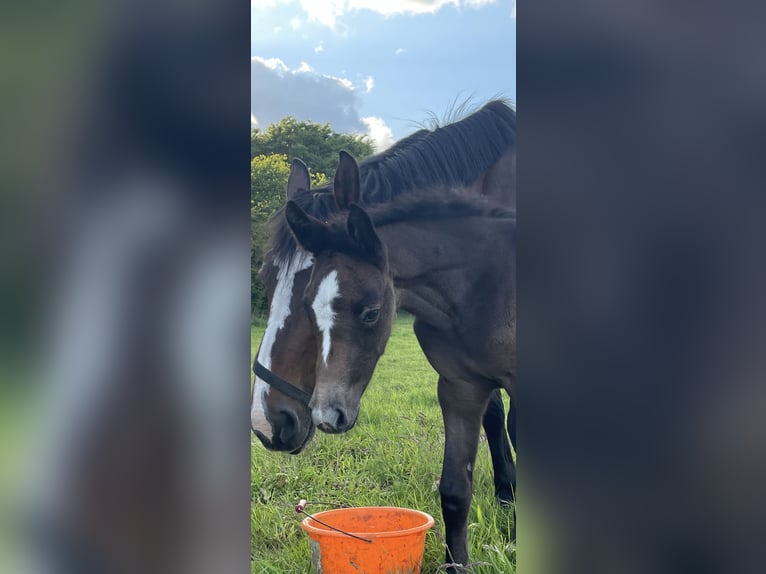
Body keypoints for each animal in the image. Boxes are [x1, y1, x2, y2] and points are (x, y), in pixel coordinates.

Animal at [281, 152, 515, 567]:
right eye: (308, 305)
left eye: (371, 312)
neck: (483, 285)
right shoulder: (460, 388)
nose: (327, 415)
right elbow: (455, 490)